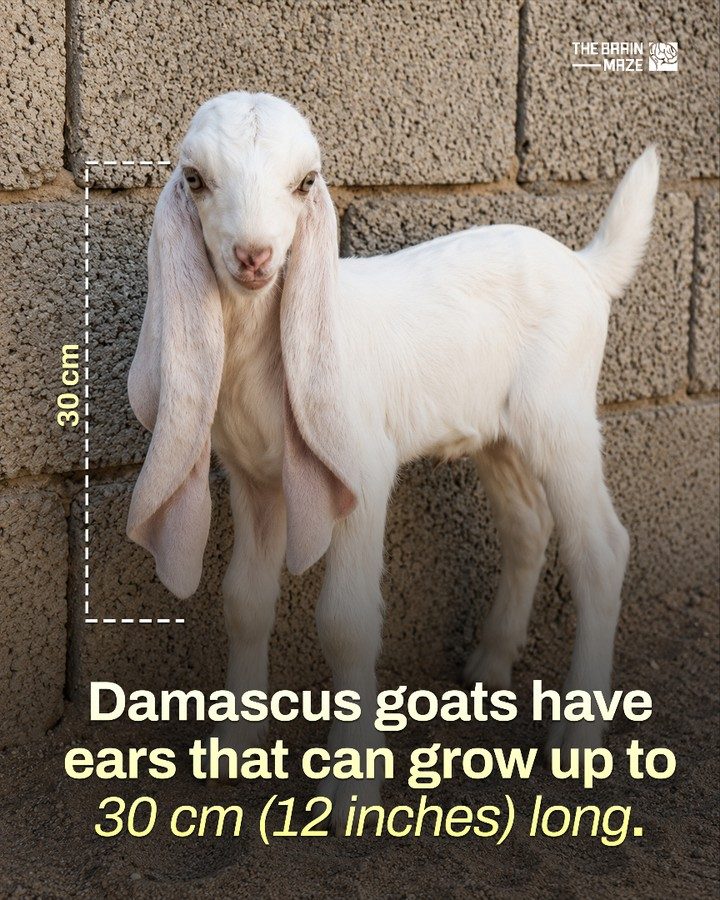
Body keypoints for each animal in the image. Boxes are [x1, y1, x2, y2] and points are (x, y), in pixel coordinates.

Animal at [127, 91, 659, 828]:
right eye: (196, 179)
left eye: (305, 183)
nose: (255, 257)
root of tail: (584, 266)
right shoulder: (255, 480)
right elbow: (243, 601)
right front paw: (233, 745)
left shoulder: (359, 469)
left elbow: (347, 623)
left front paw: (349, 787)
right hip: (497, 432)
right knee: (528, 525)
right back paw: (490, 666)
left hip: (560, 413)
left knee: (601, 548)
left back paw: (579, 736)